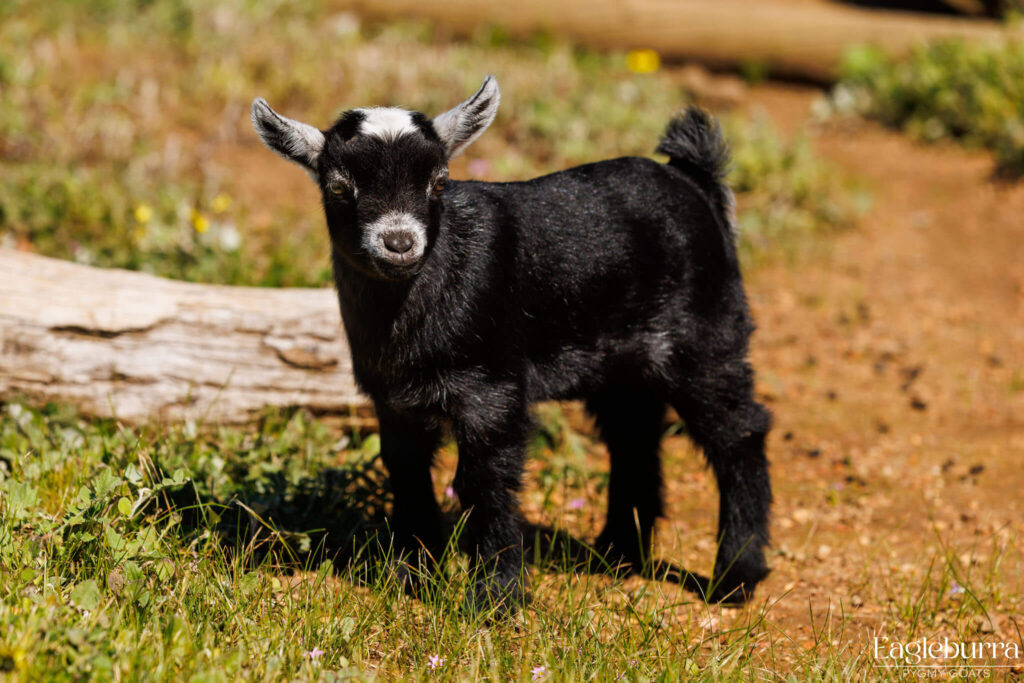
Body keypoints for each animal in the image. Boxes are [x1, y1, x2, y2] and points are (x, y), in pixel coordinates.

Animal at [251, 76, 772, 614]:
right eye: (338, 187)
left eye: (439, 182)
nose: (399, 243)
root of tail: (693, 180)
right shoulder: (393, 397)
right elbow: (406, 468)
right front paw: (412, 577)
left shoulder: (491, 388)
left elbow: (486, 479)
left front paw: (495, 597)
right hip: (624, 365)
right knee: (633, 436)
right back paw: (617, 555)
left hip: (704, 333)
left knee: (738, 432)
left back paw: (735, 576)